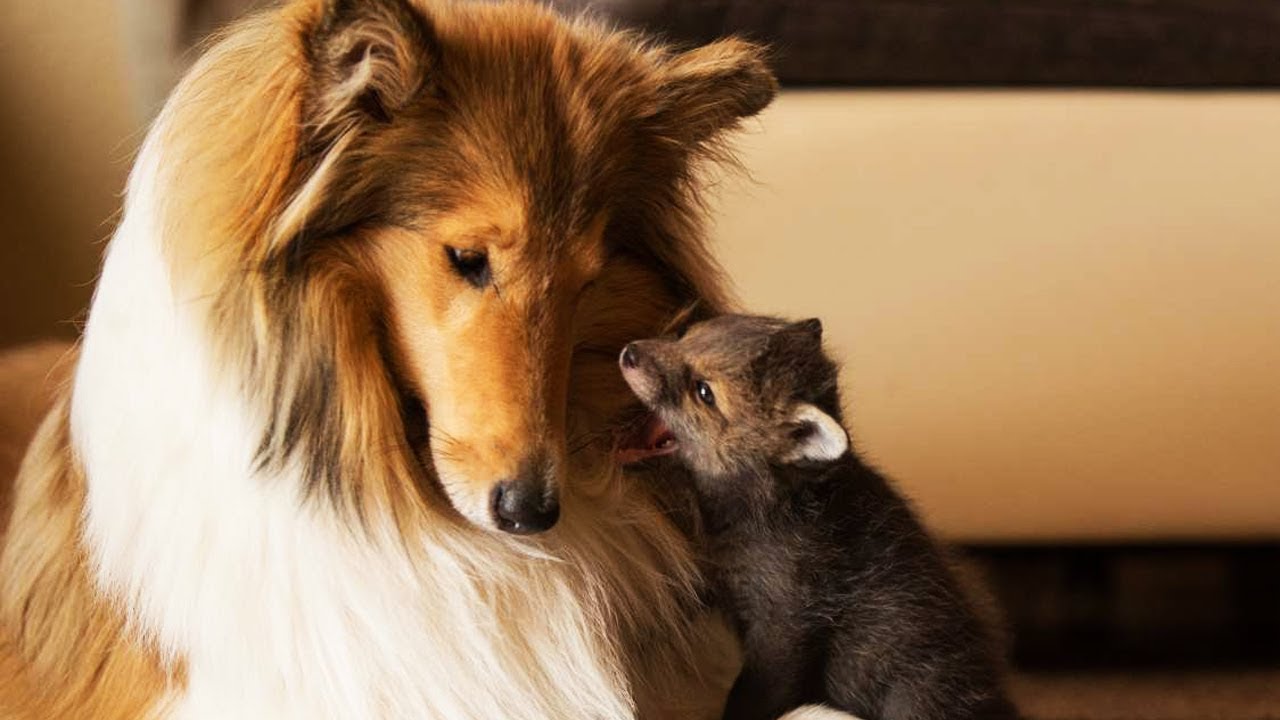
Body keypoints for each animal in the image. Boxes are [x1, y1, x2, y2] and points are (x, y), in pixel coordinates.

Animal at [618, 314, 1019, 720]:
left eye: (703, 392)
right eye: (689, 336)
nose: (629, 353)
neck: (773, 507)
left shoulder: (785, 625)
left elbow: (748, 697)